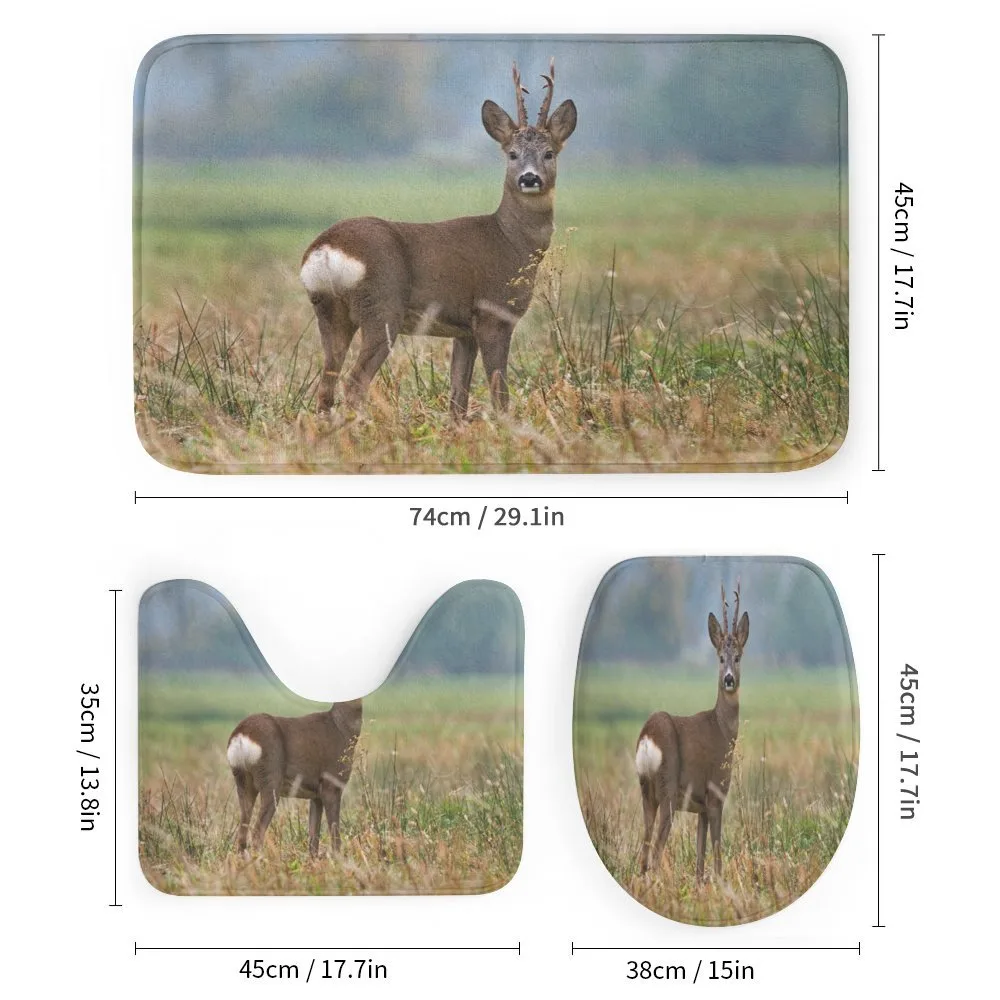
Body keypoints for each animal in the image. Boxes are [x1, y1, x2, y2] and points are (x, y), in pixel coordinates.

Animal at [226, 698, 363, 857]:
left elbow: (313, 837)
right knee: (257, 834)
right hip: (270, 781)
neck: (341, 729)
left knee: (242, 834)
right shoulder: (331, 785)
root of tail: (241, 736)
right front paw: (338, 860)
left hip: (243, 782)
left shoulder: (316, 795)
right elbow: (335, 835)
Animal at [299, 60, 577, 418]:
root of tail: (326, 249)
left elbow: (457, 399)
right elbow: (499, 393)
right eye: (513, 154)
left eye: (549, 153)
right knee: (354, 383)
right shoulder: (493, 313)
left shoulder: (464, 332)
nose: (530, 179)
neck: (511, 241)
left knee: (326, 386)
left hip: (330, 312)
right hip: (381, 308)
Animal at [634, 581, 750, 881]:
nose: (729, 679)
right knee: (655, 854)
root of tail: (648, 736)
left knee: (644, 852)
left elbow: (699, 858)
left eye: (738, 657)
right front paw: (722, 885)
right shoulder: (716, 793)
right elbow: (717, 854)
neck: (722, 728)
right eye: (720, 658)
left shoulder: (700, 807)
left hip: (647, 791)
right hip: (668, 787)